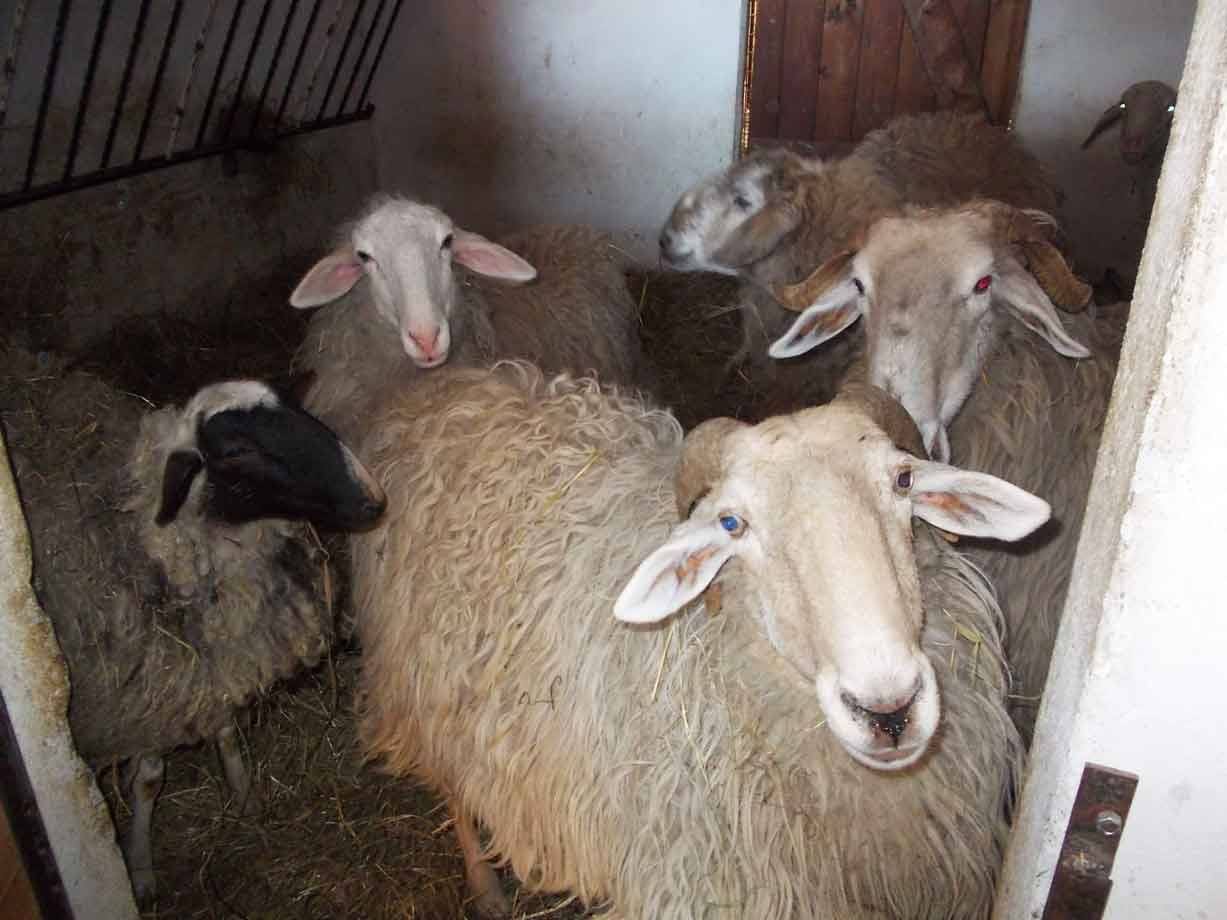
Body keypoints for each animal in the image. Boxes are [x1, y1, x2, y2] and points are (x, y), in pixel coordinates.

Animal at [0, 344, 387, 902]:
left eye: (297, 410)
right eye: (235, 451)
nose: (373, 499)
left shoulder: (214, 662)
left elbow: (225, 728)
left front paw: (244, 796)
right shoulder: (150, 695)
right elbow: (148, 778)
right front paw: (140, 870)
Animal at [350, 360, 1052, 919]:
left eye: (904, 481)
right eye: (733, 524)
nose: (888, 710)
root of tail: (432, 391)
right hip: (423, 682)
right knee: (452, 783)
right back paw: (486, 886)